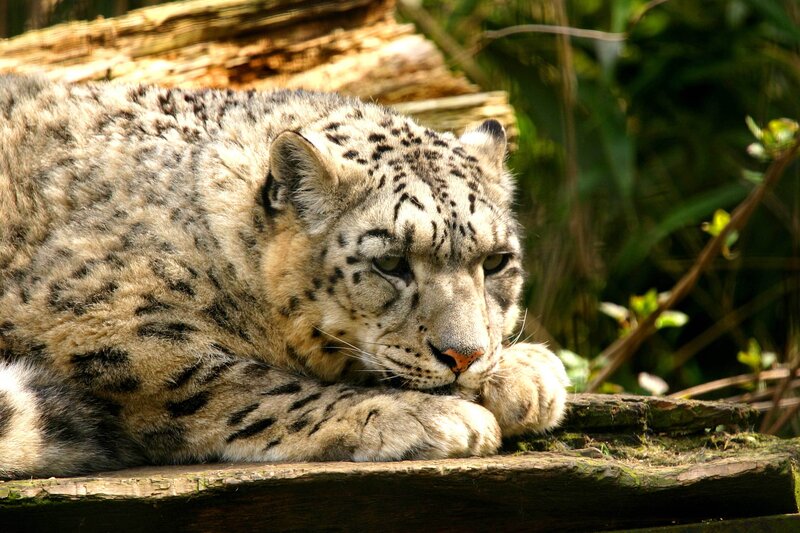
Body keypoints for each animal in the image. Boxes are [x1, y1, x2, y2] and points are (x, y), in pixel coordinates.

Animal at [0, 75, 569, 478]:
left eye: (495, 261)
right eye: (390, 263)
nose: (464, 356)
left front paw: (528, 374)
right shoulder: (105, 324)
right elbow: (249, 384)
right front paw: (426, 416)